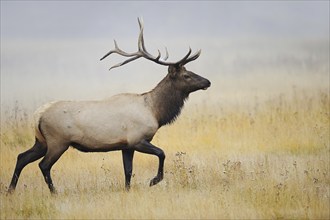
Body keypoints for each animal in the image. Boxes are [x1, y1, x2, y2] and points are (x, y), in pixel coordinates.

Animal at [8, 18, 211, 194]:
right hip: (58, 141)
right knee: (43, 165)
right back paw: (54, 192)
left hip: (41, 141)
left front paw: (128, 190)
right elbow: (162, 153)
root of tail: (38, 115)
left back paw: (10, 190)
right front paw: (154, 180)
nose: (207, 81)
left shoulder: (126, 145)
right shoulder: (137, 139)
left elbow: (128, 171)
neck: (155, 112)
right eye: (186, 76)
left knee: (21, 157)